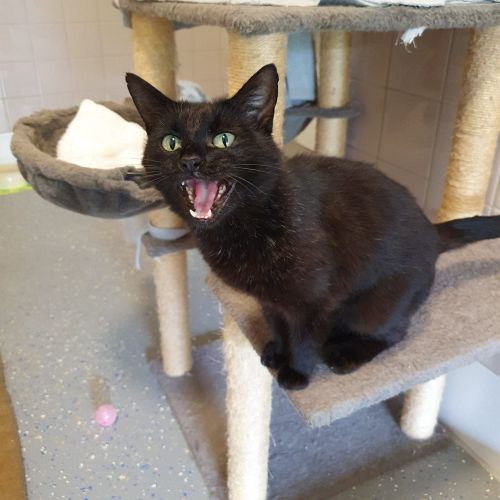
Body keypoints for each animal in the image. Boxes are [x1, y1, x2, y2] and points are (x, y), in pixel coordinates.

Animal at [126, 64, 500, 390]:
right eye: (171, 142)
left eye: (223, 139)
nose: (190, 161)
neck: (243, 224)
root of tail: (432, 230)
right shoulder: (270, 300)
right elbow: (279, 326)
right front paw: (278, 352)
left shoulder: (315, 300)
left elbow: (304, 338)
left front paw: (296, 373)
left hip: (374, 307)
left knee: (394, 332)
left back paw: (344, 354)